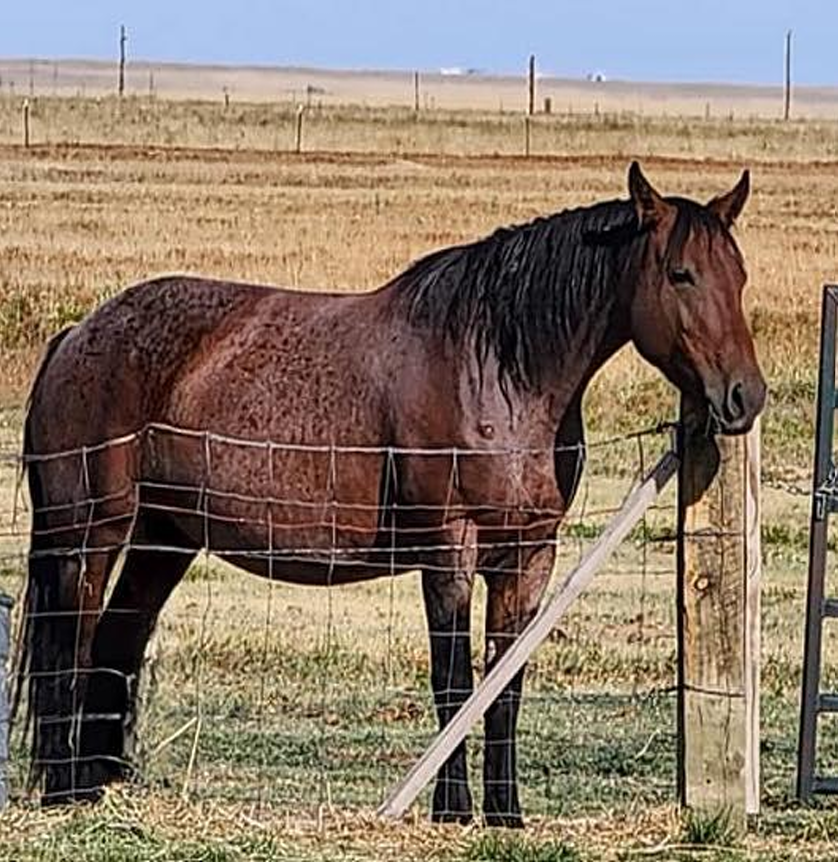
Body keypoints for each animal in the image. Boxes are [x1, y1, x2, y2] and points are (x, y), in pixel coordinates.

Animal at [18, 159, 768, 828]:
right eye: (680, 273)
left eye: (739, 274)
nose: (744, 396)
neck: (496, 369)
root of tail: (78, 334)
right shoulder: (448, 551)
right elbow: (455, 682)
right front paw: (452, 810)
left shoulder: (528, 556)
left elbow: (504, 684)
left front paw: (505, 814)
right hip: (89, 537)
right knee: (71, 647)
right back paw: (65, 790)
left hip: (163, 539)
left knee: (114, 646)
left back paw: (101, 787)